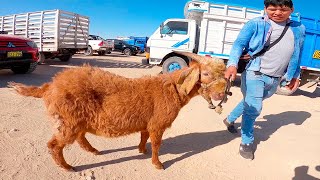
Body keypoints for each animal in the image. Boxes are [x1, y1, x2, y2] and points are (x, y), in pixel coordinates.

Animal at [8, 51, 228, 171]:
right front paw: (157, 164)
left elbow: (143, 135)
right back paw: (68, 167)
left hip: (76, 120)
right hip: (68, 120)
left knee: (79, 136)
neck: (171, 88)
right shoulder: (157, 124)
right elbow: (157, 144)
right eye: (205, 74)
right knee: (54, 144)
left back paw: (93, 151)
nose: (221, 94)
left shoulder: (146, 122)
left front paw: (141, 150)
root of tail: (50, 86)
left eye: (223, 74)